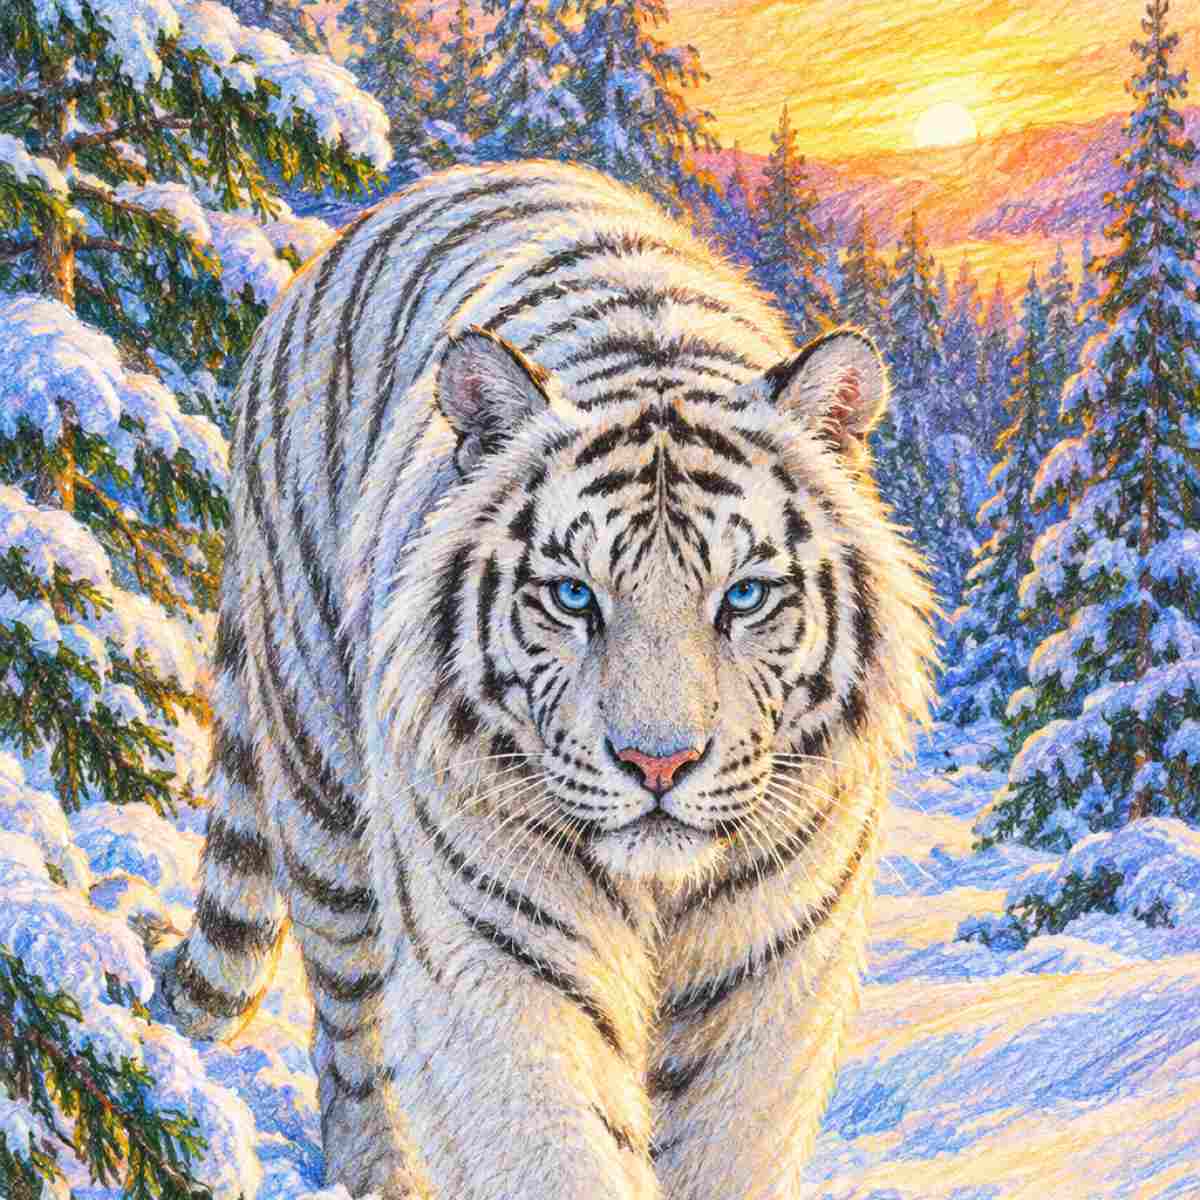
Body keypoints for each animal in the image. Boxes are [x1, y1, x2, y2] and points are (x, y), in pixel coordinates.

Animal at [162, 160, 936, 1200]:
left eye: (744, 595)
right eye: (574, 595)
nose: (659, 764)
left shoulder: (770, 974)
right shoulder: (502, 951)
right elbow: (549, 1141)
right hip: (322, 786)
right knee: (353, 1024)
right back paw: (379, 1171)